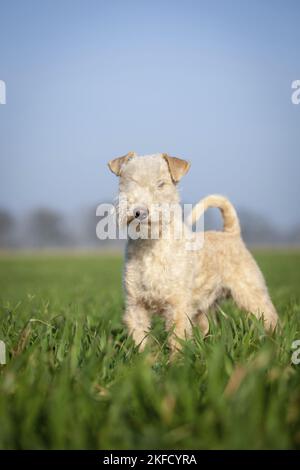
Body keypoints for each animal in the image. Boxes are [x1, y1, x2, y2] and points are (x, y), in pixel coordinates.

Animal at [108, 153, 278, 352]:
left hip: (250, 291)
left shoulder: (178, 306)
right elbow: (140, 339)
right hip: (204, 308)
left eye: (161, 184)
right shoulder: (135, 305)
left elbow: (177, 340)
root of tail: (231, 234)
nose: (139, 212)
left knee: (269, 315)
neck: (151, 245)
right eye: (128, 182)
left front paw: (176, 360)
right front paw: (144, 358)